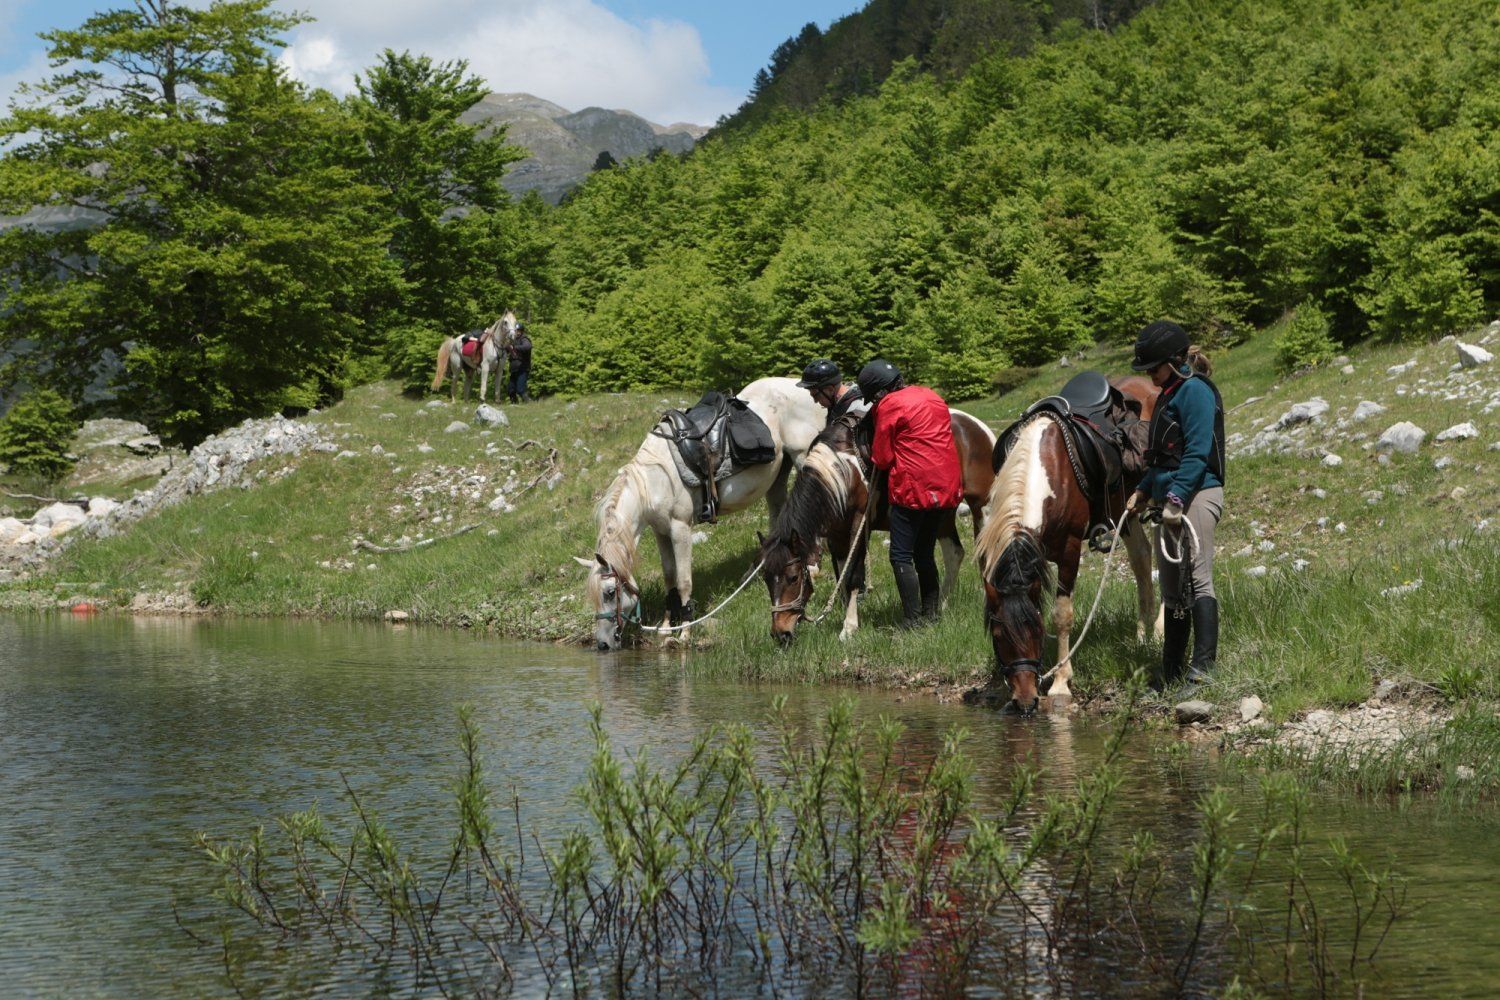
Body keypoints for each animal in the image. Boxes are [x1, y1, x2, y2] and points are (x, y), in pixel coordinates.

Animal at [580, 377, 826, 651]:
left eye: (610, 592)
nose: (602, 644)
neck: (655, 480)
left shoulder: (680, 528)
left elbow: (684, 580)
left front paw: (685, 631)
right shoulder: (661, 532)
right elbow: (669, 576)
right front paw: (666, 626)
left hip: (803, 458)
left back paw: (812, 563)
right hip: (778, 473)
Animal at [759, 409, 997, 644]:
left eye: (793, 578)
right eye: (766, 578)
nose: (780, 634)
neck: (842, 470)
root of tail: (977, 426)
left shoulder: (858, 525)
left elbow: (853, 576)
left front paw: (849, 628)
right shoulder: (836, 533)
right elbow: (842, 575)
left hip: (982, 507)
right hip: (942, 514)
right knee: (954, 554)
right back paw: (941, 605)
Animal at [972, 375, 1160, 715]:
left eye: (1036, 631)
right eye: (998, 635)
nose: (1025, 701)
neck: (1047, 470)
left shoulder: (1070, 551)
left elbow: (1062, 615)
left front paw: (1060, 684)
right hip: (1126, 512)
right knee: (1141, 558)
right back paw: (1144, 635)